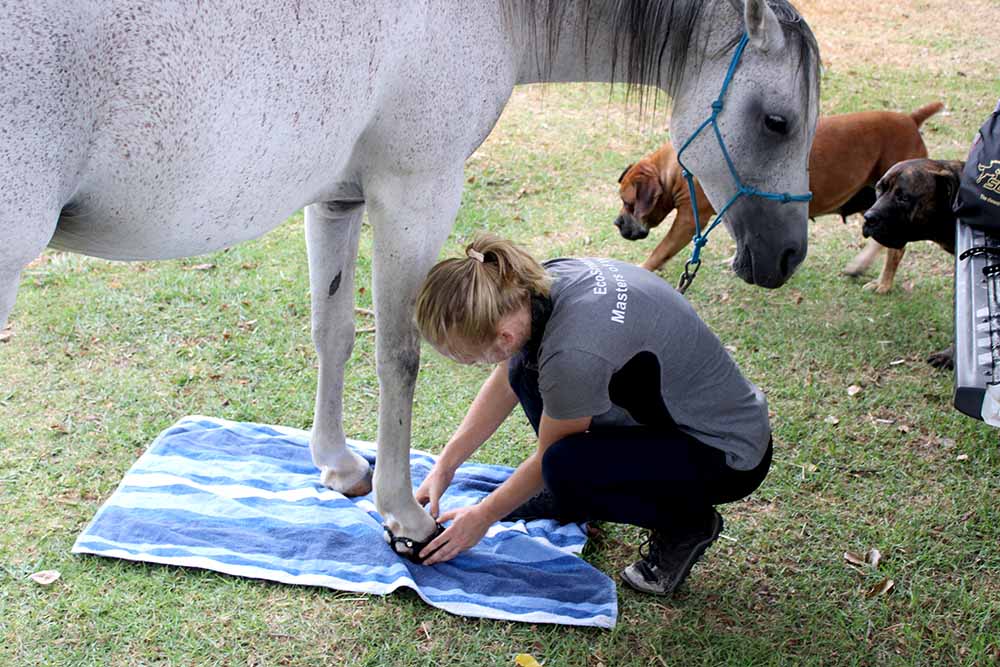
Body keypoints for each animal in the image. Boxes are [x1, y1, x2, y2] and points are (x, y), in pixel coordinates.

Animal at [0, 0, 816, 556]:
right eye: (777, 121)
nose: (787, 257)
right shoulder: (415, 192)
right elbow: (400, 356)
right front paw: (406, 513)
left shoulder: (336, 199)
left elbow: (332, 332)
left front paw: (338, 468)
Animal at [616, 103, 944, 284]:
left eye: (628, 203)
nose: (617, 223)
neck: (676, 167)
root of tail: (910, 120)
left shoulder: (686, 220)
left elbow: (660, 251)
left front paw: (642, 270)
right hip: (872, 200)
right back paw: (860, 266)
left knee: (896, 250)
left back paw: (883, 284)